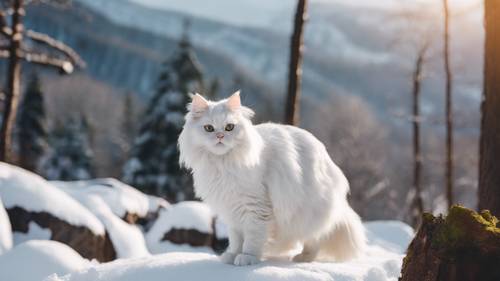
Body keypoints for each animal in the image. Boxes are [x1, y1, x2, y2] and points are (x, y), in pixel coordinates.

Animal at [178, 91, 366, 264]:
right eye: (209, 128)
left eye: (229, 127)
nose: (220, 136)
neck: (223, 165)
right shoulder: (232, 211)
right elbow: (236, 239)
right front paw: (232, 255)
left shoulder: (255, 207)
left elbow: (252, 238)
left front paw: (247, 257)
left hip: (309, 213)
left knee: (316, 238)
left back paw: (303, 258)